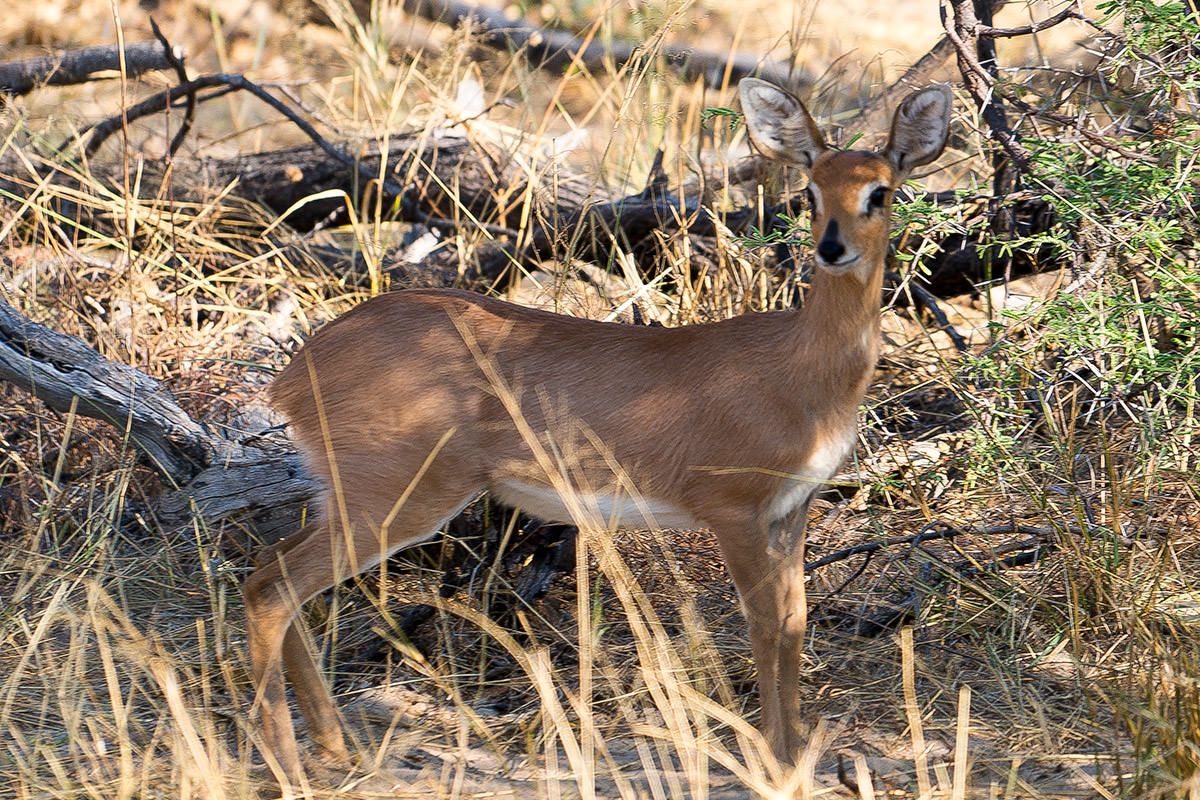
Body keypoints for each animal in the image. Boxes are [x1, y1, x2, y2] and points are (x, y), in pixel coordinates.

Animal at [248, 76, 950, 786]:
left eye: (880, 191)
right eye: (809, 191)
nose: (832, 248)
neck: (800, 369)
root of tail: (296, 373)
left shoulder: (792, 509)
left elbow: (795, 621)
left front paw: (798, 751)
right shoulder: (734, 510)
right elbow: (765, 624)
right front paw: (778, 762)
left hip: (352, 498)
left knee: (269, 570)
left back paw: (335, 747)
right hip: (396, 500)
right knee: (272, 586)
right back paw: (288, 764)